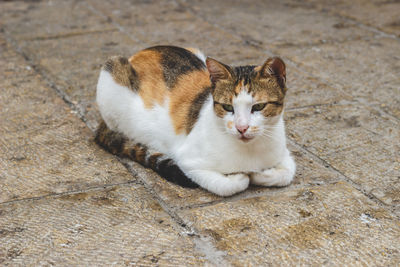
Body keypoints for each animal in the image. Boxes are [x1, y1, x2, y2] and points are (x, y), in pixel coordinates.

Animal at [94, 45, 294, 197]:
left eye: (258, 107)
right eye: (228, 107)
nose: (241, 128)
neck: (249, 151)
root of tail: (141, 53)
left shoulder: (283, 153)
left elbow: (288, 172)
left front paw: (261, 173)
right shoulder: (187, 162)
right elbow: (227, 186)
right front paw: (242, 177)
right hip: (112, 68)